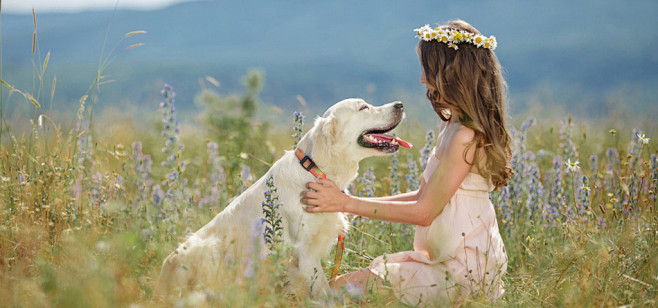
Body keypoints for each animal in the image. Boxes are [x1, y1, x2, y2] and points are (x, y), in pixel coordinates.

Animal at [156, 97, 408, 298]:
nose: (400, 104)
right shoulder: (305, 253)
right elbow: (324, 291)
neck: (315, 171)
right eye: (363, 107)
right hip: (209, 248)